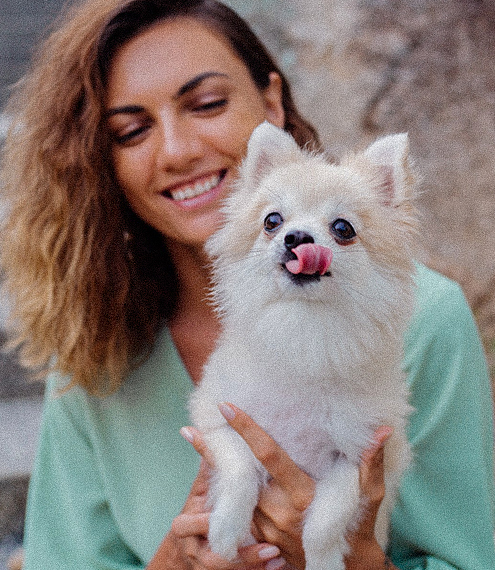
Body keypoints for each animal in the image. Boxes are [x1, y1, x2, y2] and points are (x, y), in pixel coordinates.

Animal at [190, 122, 418, 564]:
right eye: (272, 221)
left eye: (343, 228)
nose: (296, 236)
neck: (303, 328)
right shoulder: (219, 417)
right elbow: (239, 468)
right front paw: (225, 532)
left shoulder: (360, 456)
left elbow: (326, 520)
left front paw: (323, 559)